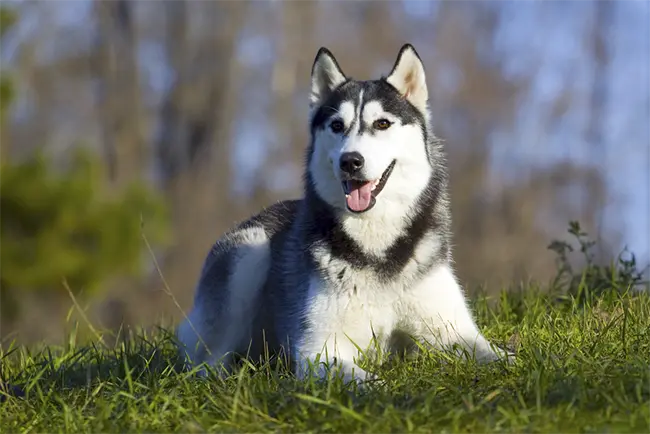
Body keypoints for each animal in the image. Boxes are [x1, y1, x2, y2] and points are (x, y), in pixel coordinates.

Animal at [178, 43, 512, 384]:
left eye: (382, 123)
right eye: (337, 126)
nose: (350, 161)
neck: (376, 245)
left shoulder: (456, 332)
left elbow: (503, 357)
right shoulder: (319, 350)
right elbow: (371, 382)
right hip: (248, 253)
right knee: (207, 361)